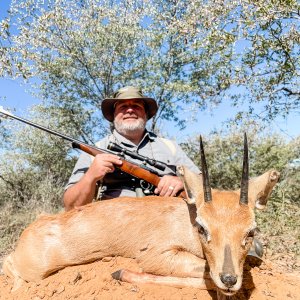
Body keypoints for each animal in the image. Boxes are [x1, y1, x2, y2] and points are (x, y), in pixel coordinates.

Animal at [1, 135, 278, 298]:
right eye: (202, 228)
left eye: (251, 231)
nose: (229, 279)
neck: (185, 220)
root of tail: (36, 224)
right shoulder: (156, 256)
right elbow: (208, 274)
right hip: (35, 270)